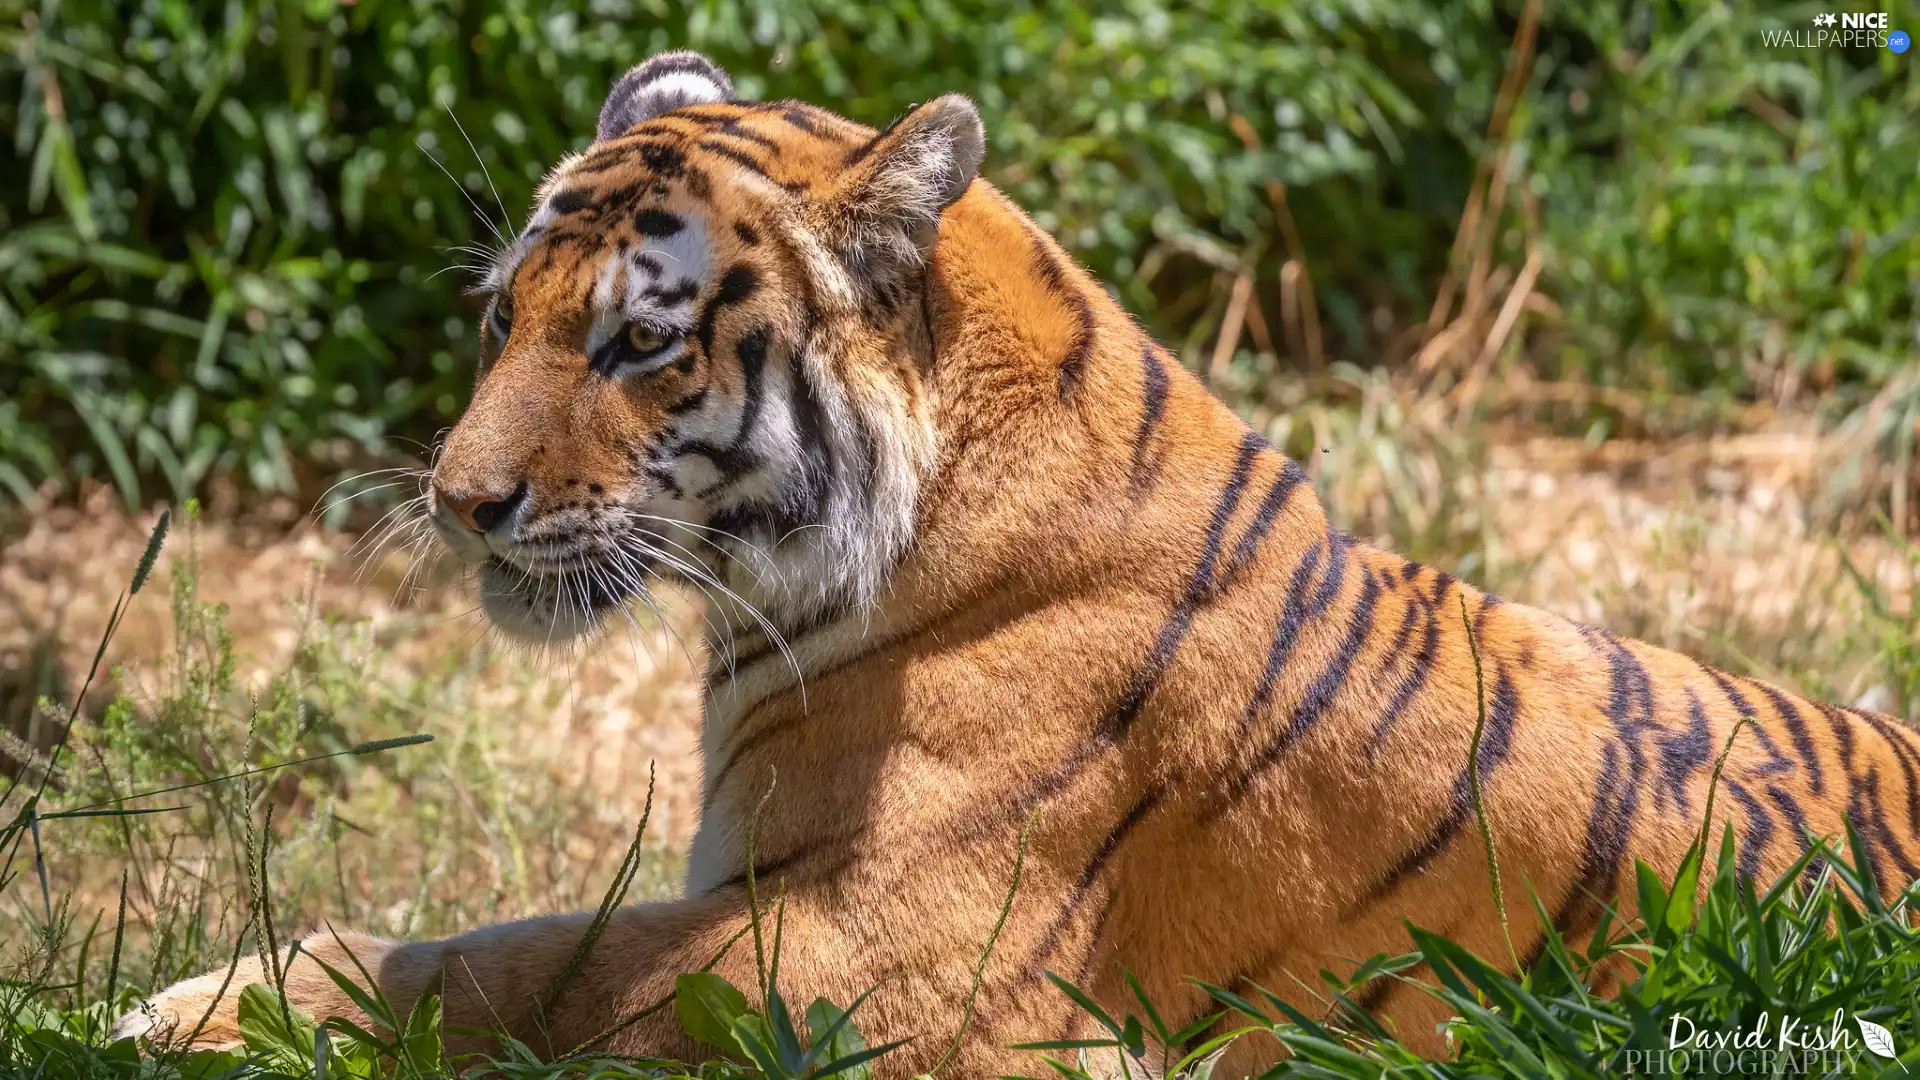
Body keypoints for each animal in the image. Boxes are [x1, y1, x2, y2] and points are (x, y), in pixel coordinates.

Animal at [123, 50, 1920, 1076]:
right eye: (506, 317)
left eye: (637, 343)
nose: (457, 500)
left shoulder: (885, 967)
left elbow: (522, 970)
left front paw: (193, 1012)